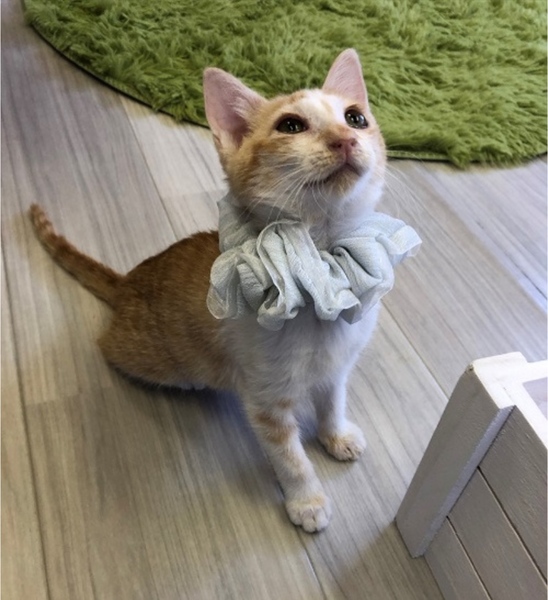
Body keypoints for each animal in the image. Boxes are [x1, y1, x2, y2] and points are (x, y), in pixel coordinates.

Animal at [30, 49, 390, 532]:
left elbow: (333, 401)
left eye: (355, 117)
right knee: (111, 349)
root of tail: (127, 283)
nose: (345, 139)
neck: (321, 270)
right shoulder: (264, 399)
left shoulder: (337, 367)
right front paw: (307, 500)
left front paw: (336, 435)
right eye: (291, 125)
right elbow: (290, 457)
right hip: (157, 360)